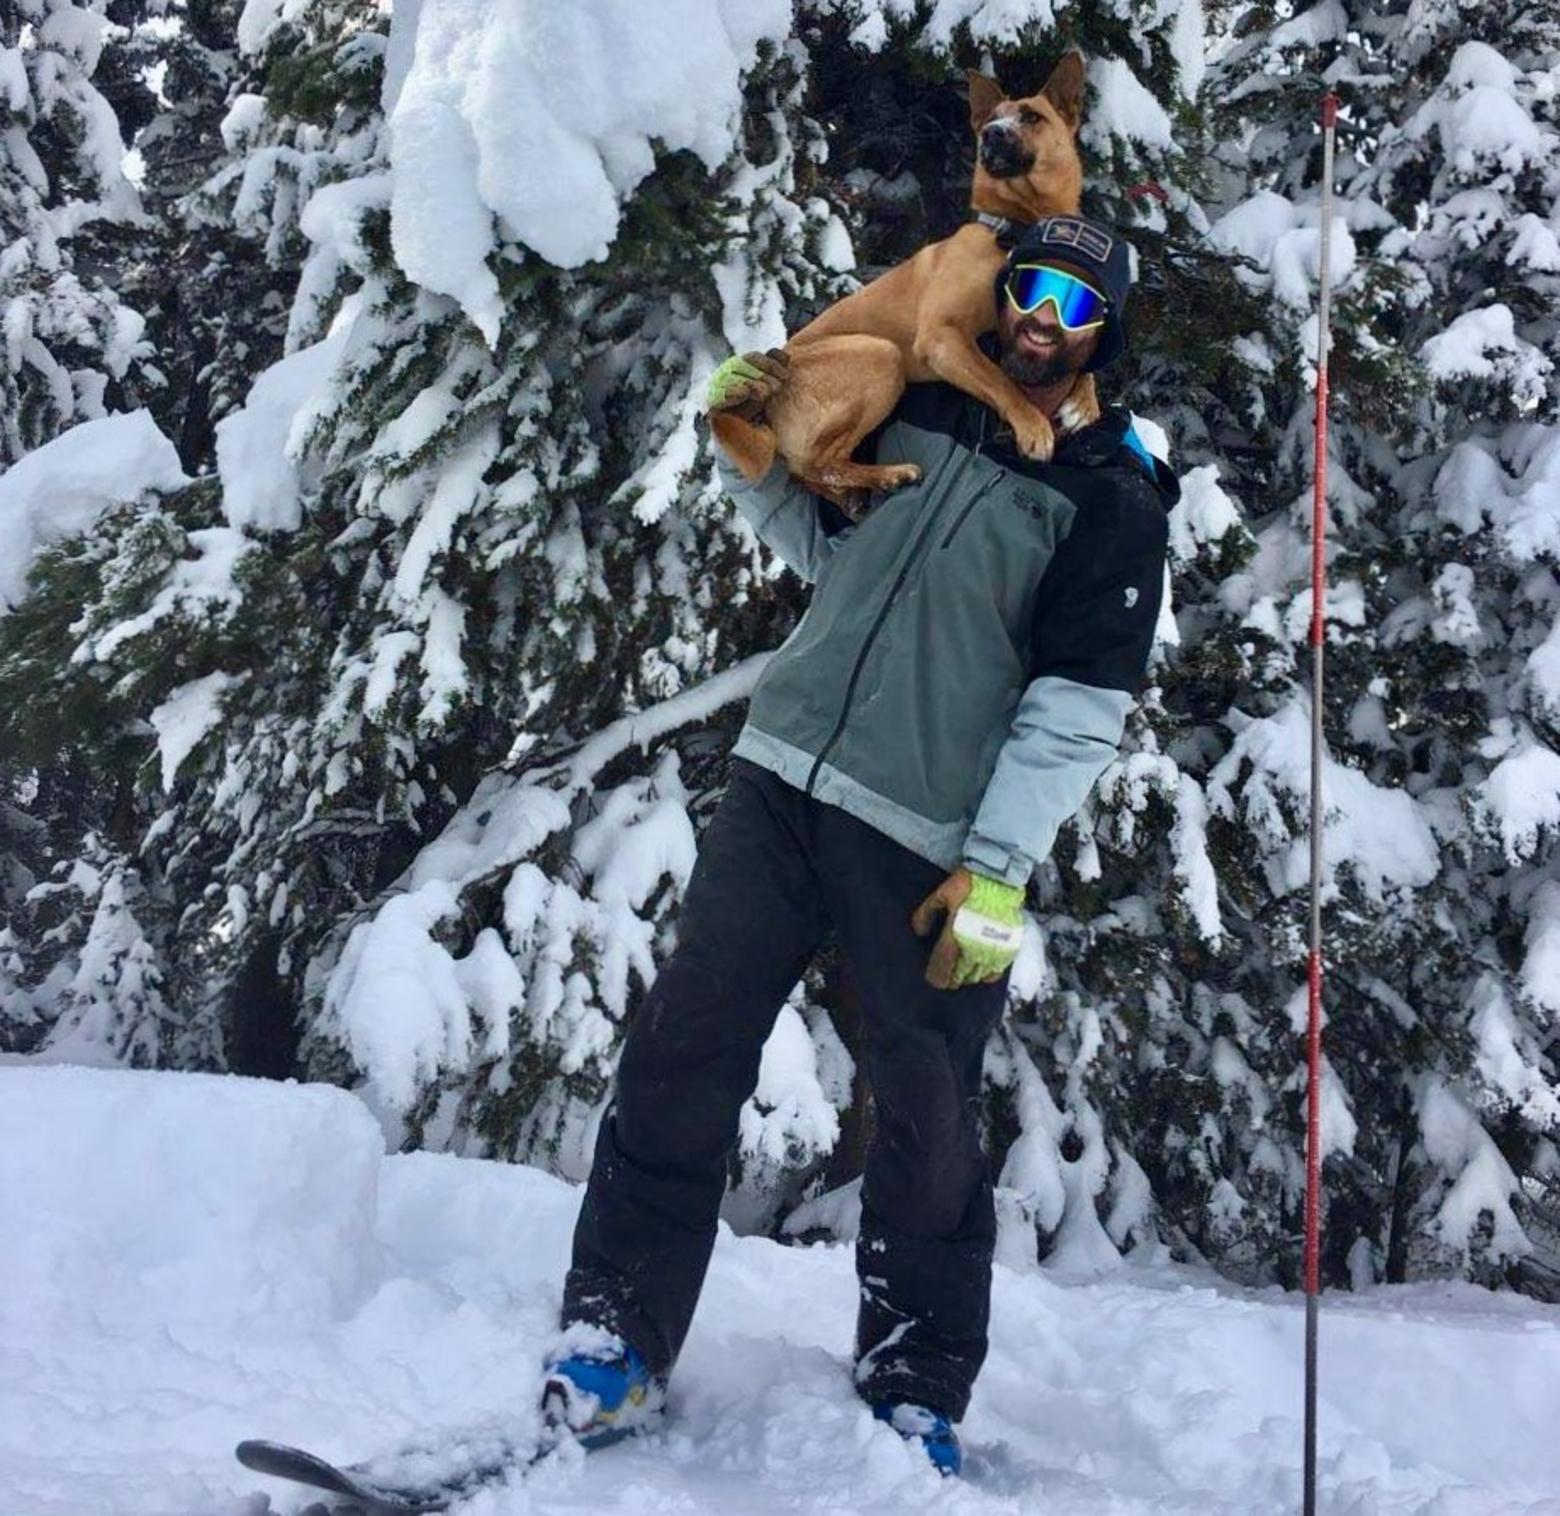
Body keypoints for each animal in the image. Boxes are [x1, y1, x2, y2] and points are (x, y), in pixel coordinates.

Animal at [714, 53, 1104, 508]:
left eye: (1031, 116)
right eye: (990, 120)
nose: (991, 134)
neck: (1011, 231)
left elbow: (1087, 363)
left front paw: (1084, 403)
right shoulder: (941, 336)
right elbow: (1002, 379)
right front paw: (1034, 424)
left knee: (809, 473)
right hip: (880, 355)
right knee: (816, 464)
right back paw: (889, 476)